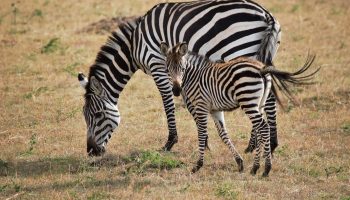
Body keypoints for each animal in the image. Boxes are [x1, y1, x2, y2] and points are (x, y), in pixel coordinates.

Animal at [78, 0, 280, 156]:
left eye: (97, 115)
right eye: (85, 116)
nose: (91, 152)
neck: (134, 44)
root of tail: (266, 13)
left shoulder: (158, 65)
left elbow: (168, 102)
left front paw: (170, 142)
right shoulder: (177, 72)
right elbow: (189, 102)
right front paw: (205, 141)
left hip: (240, 50)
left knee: (262, 97)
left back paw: (260, 145)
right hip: (263, 54)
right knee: (267, 94)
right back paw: (265, 144)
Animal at [160, 41, 318, 176]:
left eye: (182, 69)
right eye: (167, 69)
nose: (176, 90)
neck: (194, 77)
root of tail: (261, 68)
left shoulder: (201, 106)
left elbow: (202, 133)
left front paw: (198, 165)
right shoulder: (215, 109)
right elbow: (223, 134)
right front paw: (239, 162)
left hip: (247, 100)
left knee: (263, 127)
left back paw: (264, 168)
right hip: (259, 103)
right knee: (260, 128)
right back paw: (257, 168)